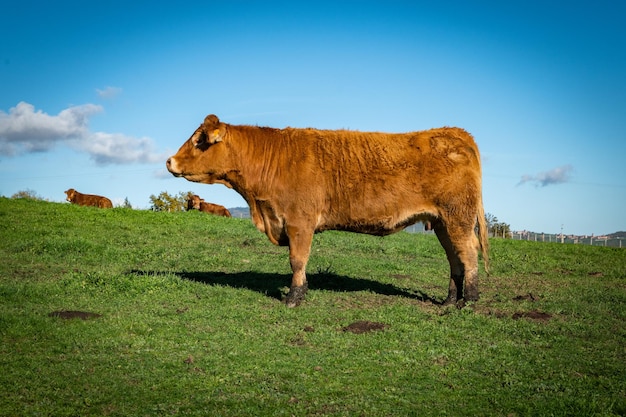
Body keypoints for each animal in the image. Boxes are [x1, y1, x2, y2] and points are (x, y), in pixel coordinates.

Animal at [166, 114, 488, 306]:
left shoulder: (299, 222)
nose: (169, 161)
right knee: (455, 258)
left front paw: (294, 297)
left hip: (457, 217)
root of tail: (455, 132)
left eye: (199, 140)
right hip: (442, 222)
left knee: (468, 253)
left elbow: (297, 260)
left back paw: (469, 301)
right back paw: (449, 300)